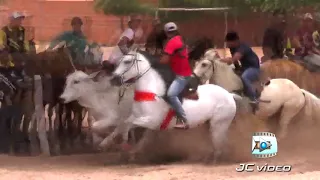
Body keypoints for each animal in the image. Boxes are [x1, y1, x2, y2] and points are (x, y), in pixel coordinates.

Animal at [106, 50, 241, 162]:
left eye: (127, 61)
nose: (113, 79)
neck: (151, 92)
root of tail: (229, 95)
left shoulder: (150, 121)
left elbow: (126, 125)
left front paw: (124, 145)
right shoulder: (138, 117)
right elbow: (122, 124)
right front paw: (106, 143)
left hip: (219, 125)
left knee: (219, 145)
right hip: (211, 125)